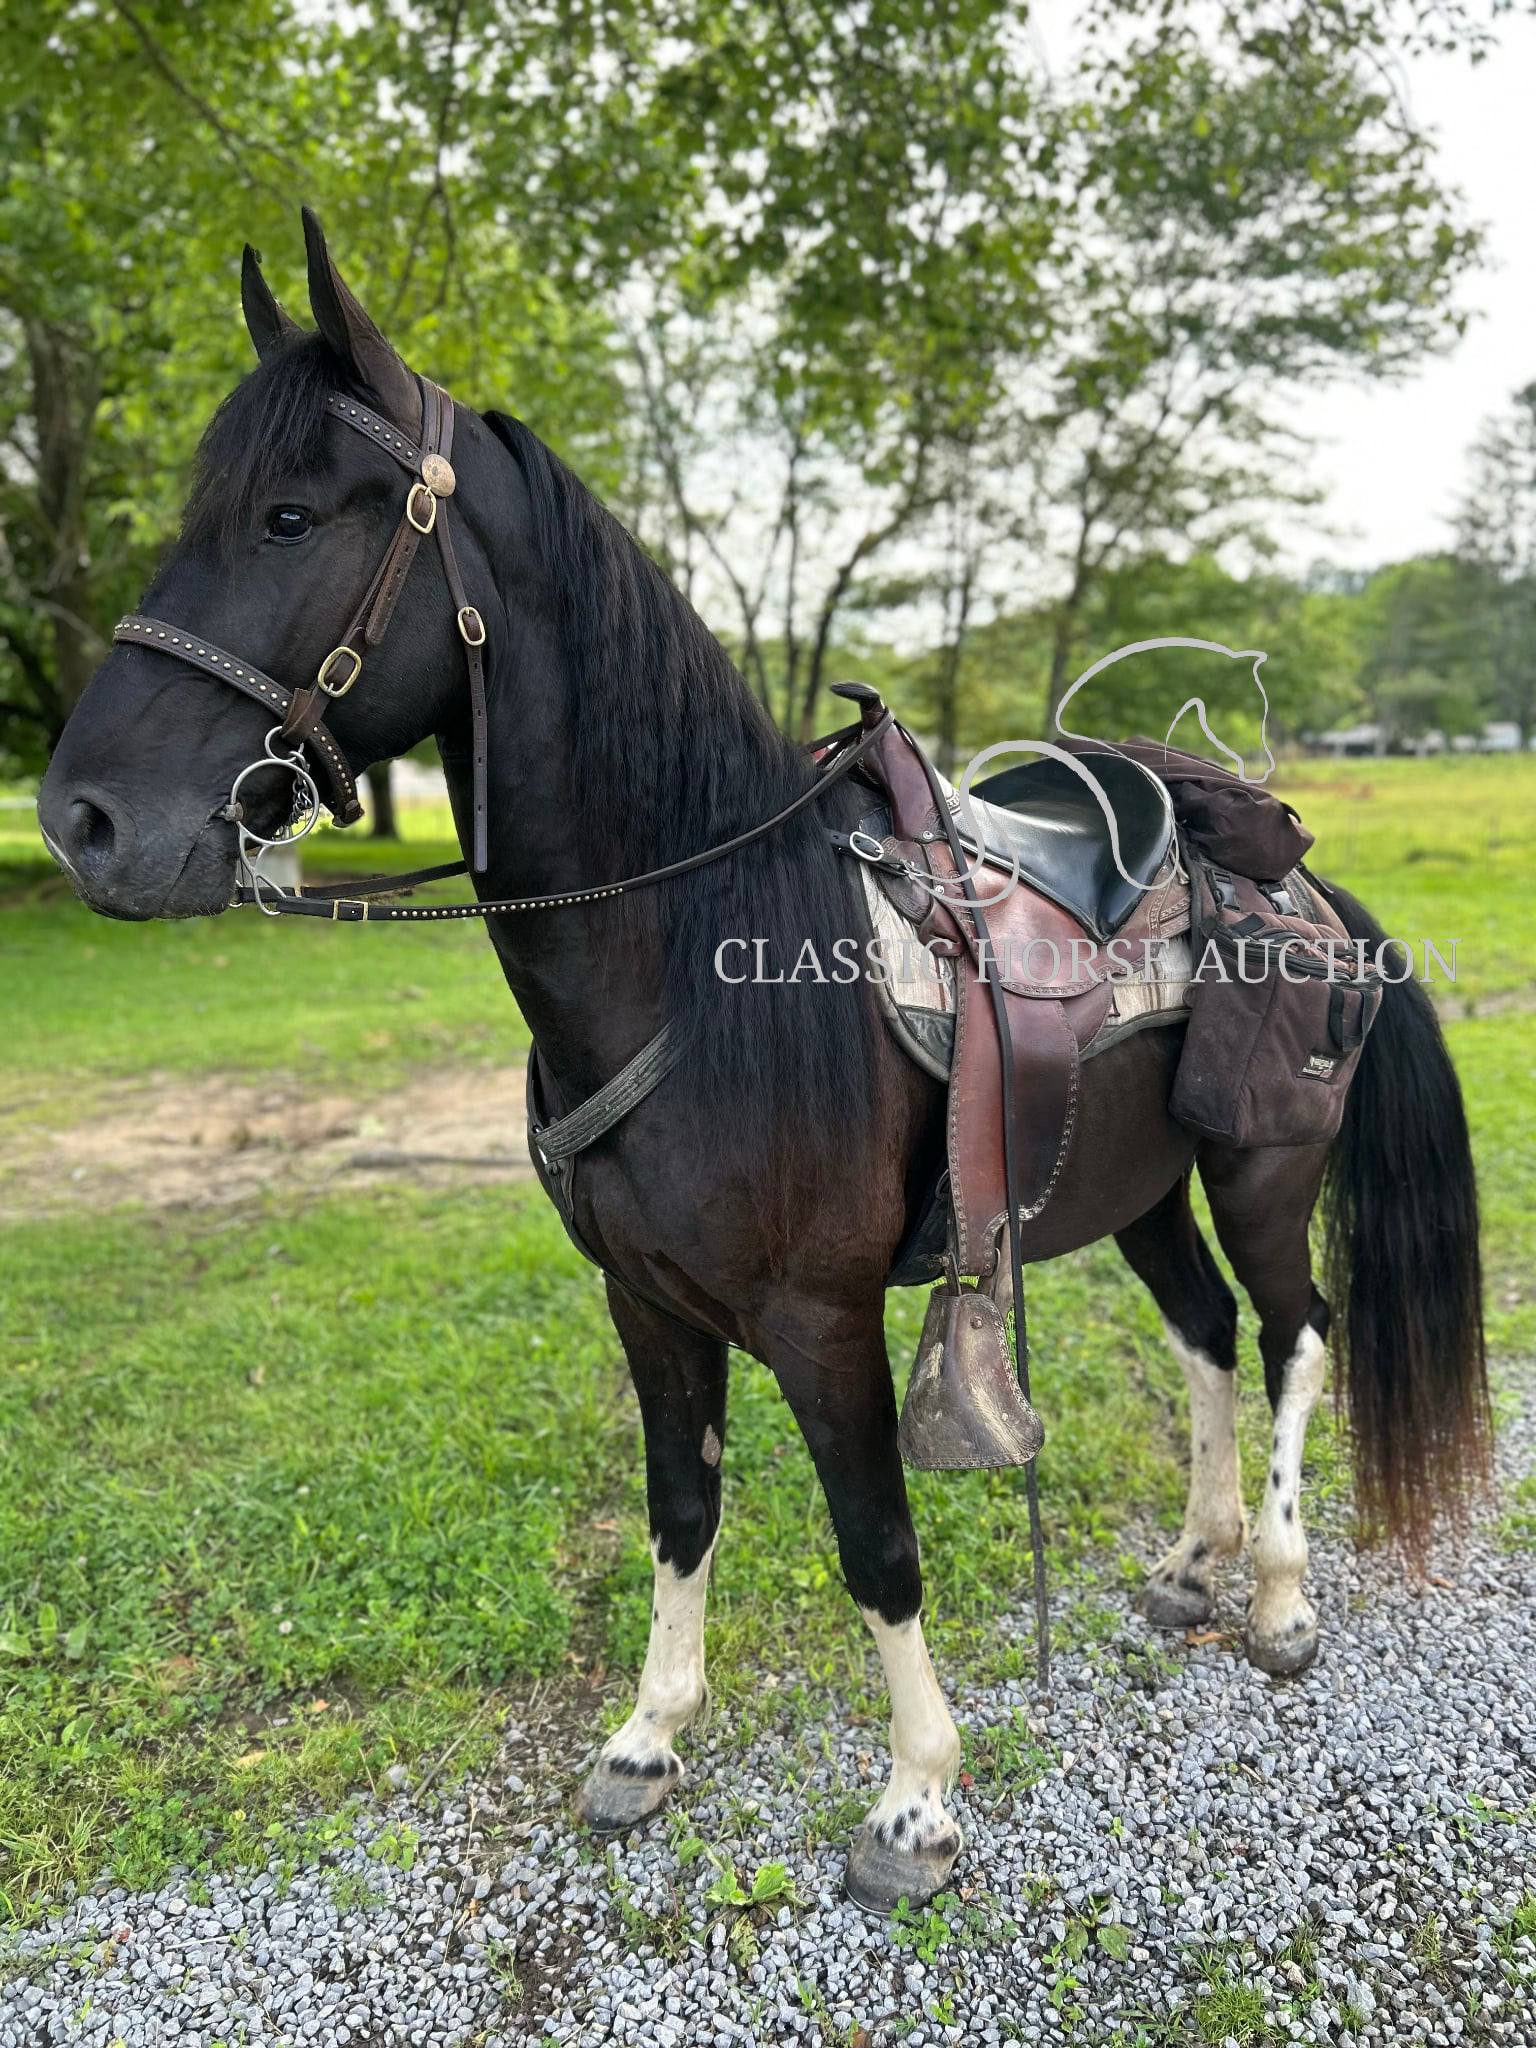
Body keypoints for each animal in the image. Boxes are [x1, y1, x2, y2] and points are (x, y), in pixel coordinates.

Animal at [37, 212, 1490, 1913]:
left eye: (284, 517)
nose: (82, 822)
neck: (698, 948)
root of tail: (1299, 880)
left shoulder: (821, 1320)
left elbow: (877, 1540)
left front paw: (917, 1801)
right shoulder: (647, 1305)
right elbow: (682, 1509)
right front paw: (649, 1738)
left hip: (1264, 1168)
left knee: (1291, 1336)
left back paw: (1277, 1593)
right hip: (1136, 1184)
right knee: (1201, 1335)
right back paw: (1194, 1565)